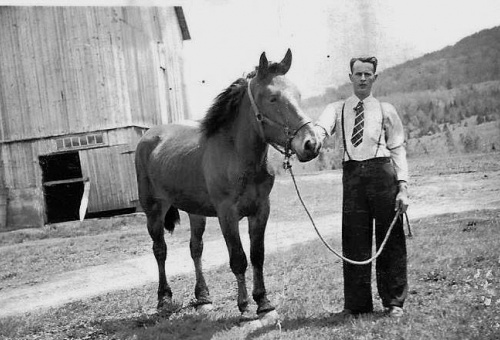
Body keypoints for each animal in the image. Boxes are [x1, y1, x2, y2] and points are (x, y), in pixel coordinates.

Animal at [134, 48, 320, 322]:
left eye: (298, 94)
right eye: (272, 98)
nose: (312, 143)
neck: (237, 155)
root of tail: (149, 136)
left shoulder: (260, 210)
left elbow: (257, 255)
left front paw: (264, 302)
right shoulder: (227, 214)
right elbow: (238, 258)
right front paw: (244, 306)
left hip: (195, 212)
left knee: (195, 249)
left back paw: (203, 298)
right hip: (154, 210)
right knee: (160, 250)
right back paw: (164, 299)